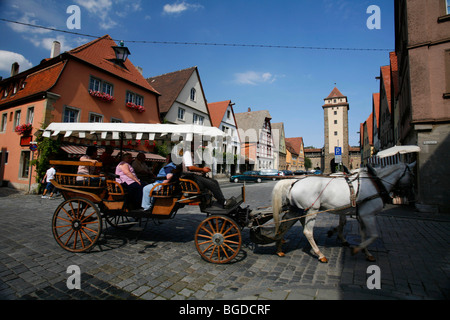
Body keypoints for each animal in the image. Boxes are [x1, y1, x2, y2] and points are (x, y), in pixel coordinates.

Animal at [270, 162, 414, 262]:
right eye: (412, 174)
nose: (411, 193)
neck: (375, 182)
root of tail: (295, 181)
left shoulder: (360, 215)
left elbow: (362, 234)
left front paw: (366, 252)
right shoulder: (368, 214)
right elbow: (373, 235)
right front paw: (356, 249)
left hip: (296, 209)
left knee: (283, 225)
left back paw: (279, 247)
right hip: (312, 210)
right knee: (307, 231)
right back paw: (320, 254)